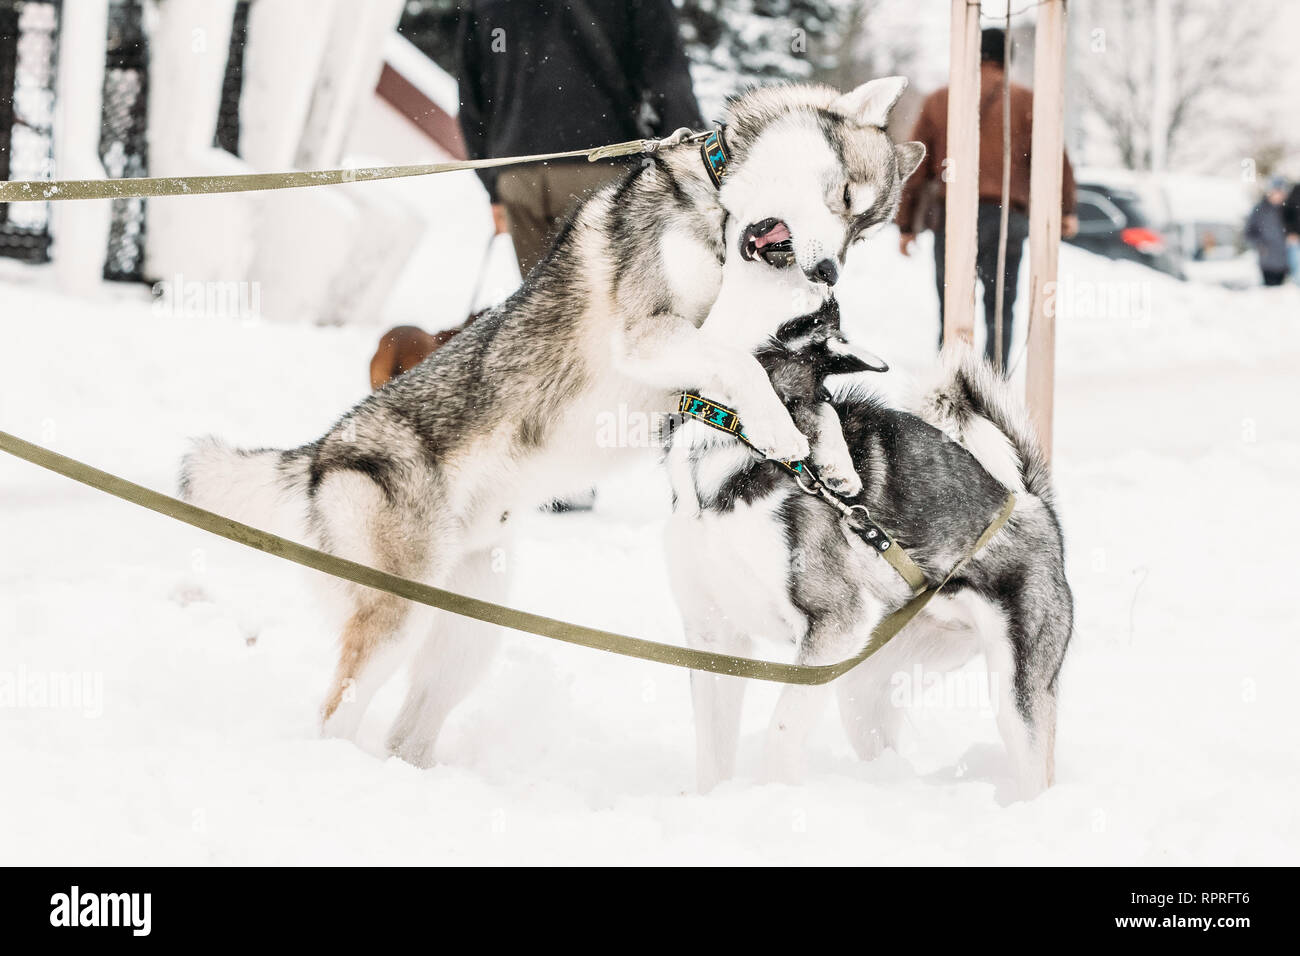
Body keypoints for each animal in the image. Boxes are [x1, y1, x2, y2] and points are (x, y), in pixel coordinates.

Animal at [180, 76, 925, 770]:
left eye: (864, 231)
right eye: (845, 197)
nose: (827, 272)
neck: (716, 212)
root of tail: (320, 453)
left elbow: (809, 395)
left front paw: (834, 462)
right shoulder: (652, 338)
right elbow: (742, 366)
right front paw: (779, 430)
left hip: (469, 631)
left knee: (405, 730)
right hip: (398, 618)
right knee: (338, 712)